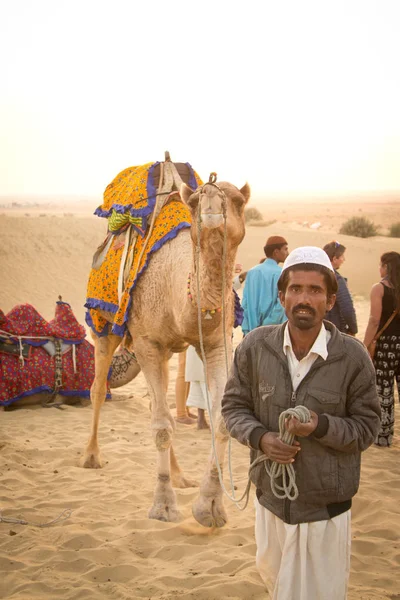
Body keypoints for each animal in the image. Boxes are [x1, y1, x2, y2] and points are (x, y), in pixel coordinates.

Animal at [82, 163, 248, 524]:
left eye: (239, 201)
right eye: (197, 201)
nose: (211, 209)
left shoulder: (216, 343)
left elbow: (221, 420)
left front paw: (210, 506)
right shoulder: (147, 342)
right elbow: (160, 426)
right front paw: (163, 506)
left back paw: (180, 476)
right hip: (105, 324)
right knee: (98, 387)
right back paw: (91, 456)